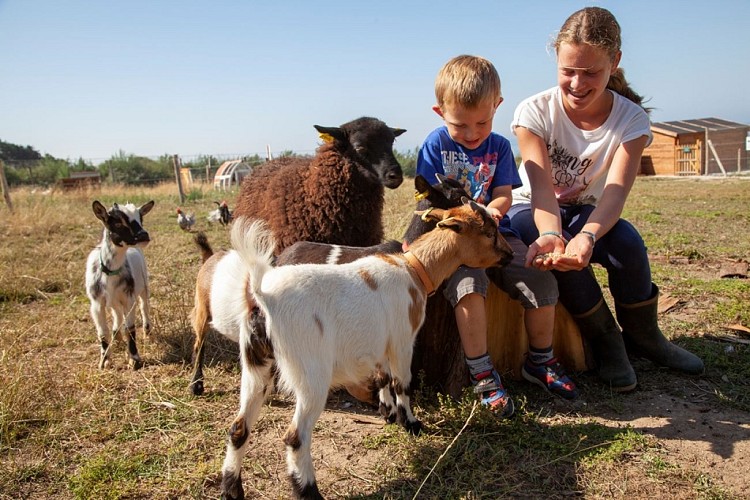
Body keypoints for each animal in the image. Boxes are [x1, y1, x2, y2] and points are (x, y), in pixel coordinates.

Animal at [220, 200, 516, 500]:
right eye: (489, 233)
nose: (510, 255)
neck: (414, 270)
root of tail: (262, 299)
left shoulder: (380, 343)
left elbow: (383, 377)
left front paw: (388, 414)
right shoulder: (402, 341)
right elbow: (402, 383)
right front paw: (412, 424)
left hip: (255, 365)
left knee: (238, 428)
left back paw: (232, 489)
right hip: (310, 371)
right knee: (295, 437)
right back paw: (309, 491)